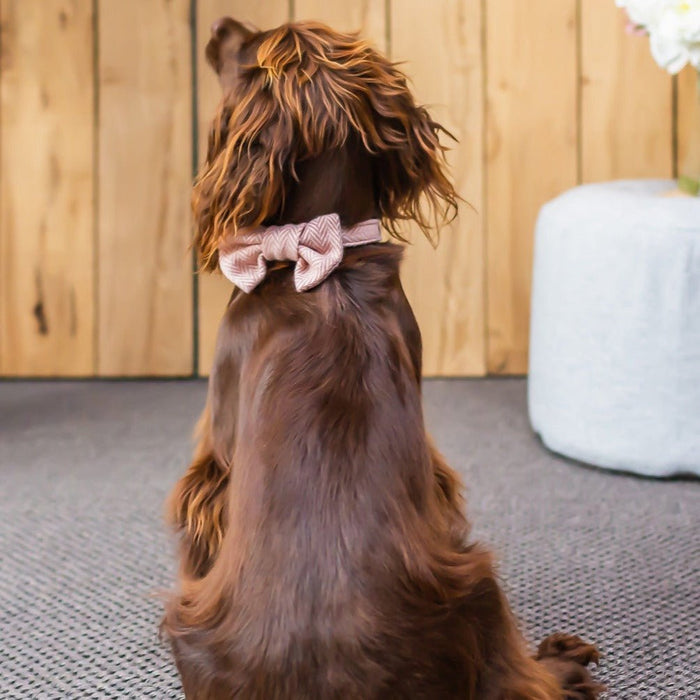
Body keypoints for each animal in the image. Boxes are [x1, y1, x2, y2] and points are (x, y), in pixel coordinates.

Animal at [164, 19, 600, 696]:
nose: (216, 25)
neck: (320, 263)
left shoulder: (215, 457)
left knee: (521, 677)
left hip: (477, 578)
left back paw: (560, 661)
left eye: (249, 48)